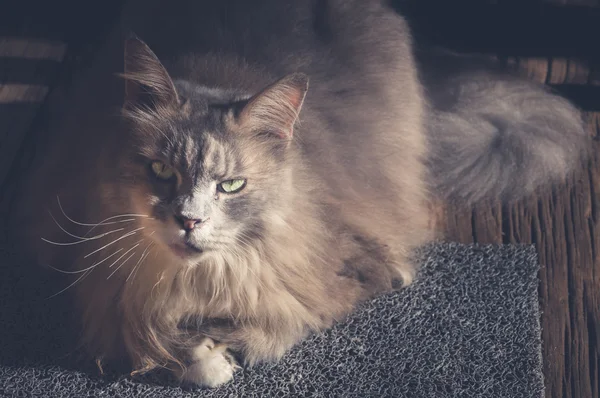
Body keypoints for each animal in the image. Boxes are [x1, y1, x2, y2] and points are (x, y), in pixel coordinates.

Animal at [9, 0, 588, 388]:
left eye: (231, 185)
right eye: (160, 171)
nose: (189, 221)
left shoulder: (353, 269)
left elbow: (275, 322)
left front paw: (224, 346)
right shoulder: (98, 291)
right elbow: (157, 339)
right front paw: (204, 354)